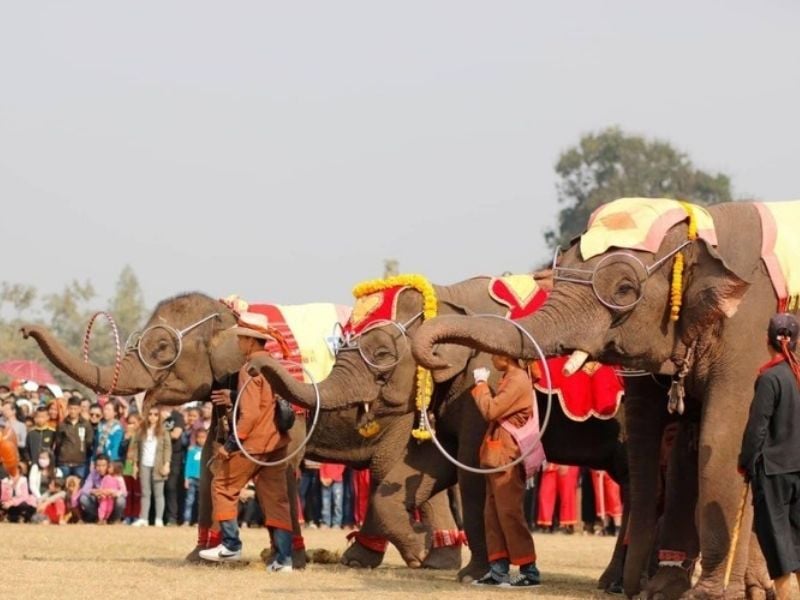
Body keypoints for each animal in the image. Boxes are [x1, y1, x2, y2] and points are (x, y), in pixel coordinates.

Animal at [20, 296, 462, 572]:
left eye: (161, 347)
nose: (25, 331)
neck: (232, 315)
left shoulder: (288, 402)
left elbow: (283, 464)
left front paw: (290, 561)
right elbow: (212, 461)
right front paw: (200, 555)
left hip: (402, 410)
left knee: (389, 469)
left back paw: (377, 556)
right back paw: (434, 560)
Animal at [247, 274, 636, 584]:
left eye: (382, 354)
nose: (255, 364)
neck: (447, 296)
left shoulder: (486, 374)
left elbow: (471, 466)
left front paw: (469, 574)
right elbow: (430, 465)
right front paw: (421, 551)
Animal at [412, 198, 792, 600]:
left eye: (625, 289)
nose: (632, 591)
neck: (705, 226)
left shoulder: (748, 334)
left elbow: (722, 441)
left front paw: (706, 595)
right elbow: (686, 452)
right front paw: (663, 591)